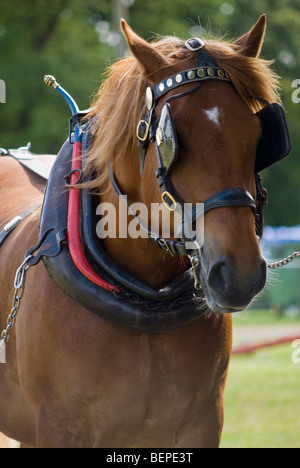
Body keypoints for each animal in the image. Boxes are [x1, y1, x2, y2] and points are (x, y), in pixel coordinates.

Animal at [0, 16, 280, 448]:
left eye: (258, 136)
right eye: (171, 139)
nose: (240, 274)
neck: (145, 300)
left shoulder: (203, 424)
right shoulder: (60, 426)